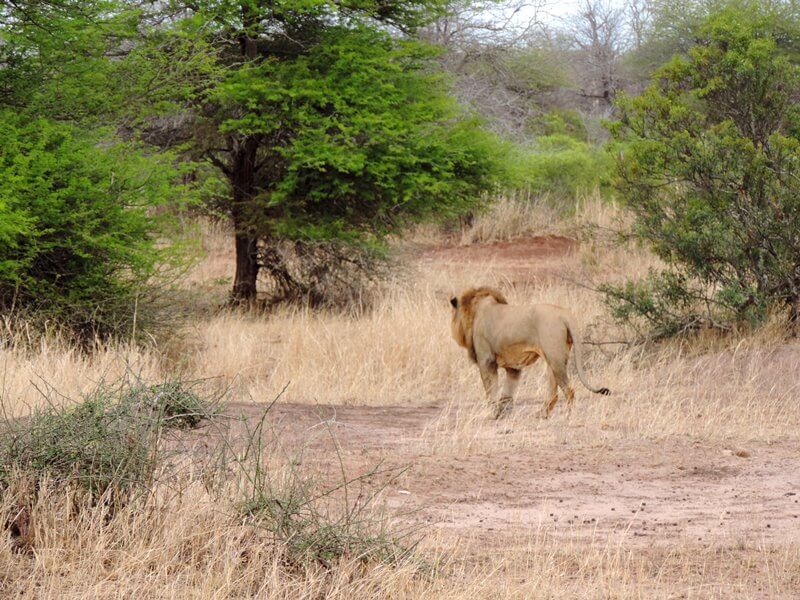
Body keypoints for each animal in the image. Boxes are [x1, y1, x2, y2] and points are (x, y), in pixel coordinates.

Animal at [450, 286, 610, 418]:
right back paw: (542, 414)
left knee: (569, 390)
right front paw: (504, 413)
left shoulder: (486, 360)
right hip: (554, 358)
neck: (475, 312)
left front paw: (491, 414)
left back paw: (567, 415)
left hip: (555, 357)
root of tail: (564, 314)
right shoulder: (513, 367)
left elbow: (490, 389)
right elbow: (508, 392)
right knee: (553, 392)